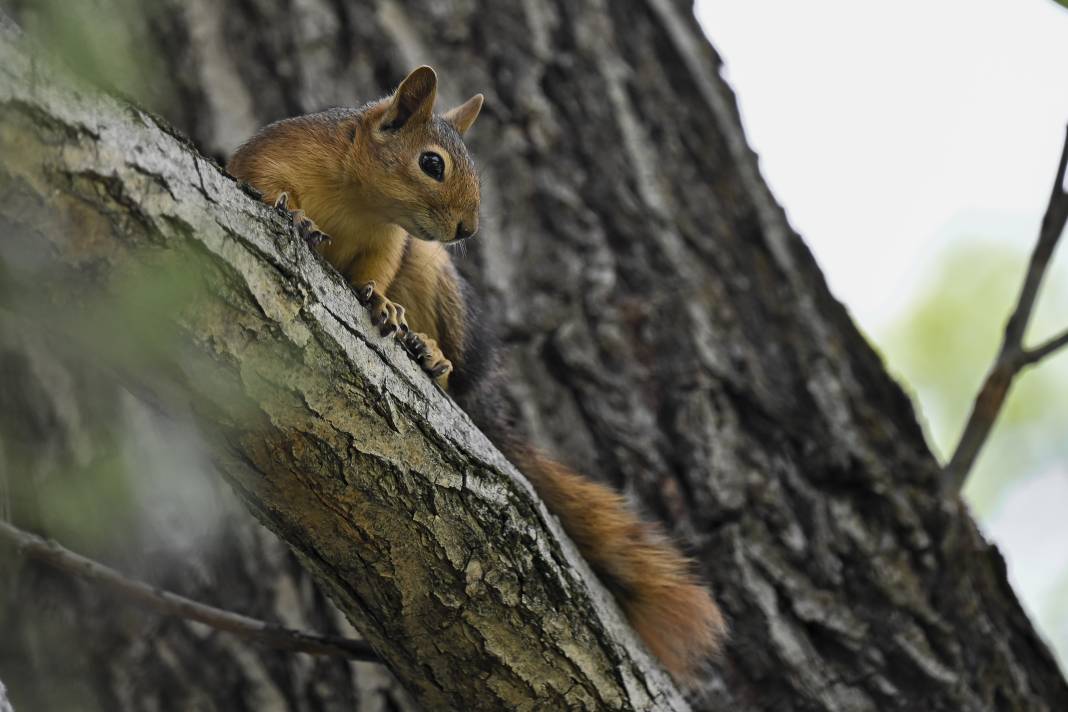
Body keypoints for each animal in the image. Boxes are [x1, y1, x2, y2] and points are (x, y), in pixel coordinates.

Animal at [225, 68, 726, 683]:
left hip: (433, 274)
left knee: (456, 378)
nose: (468, 226)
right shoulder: (275, 156)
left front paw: (384, 307)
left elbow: (375, 276)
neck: (358, 198)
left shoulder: (390, 244)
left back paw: (431, 356)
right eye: (432, 163)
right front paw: (293, 215)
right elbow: (261, 181)